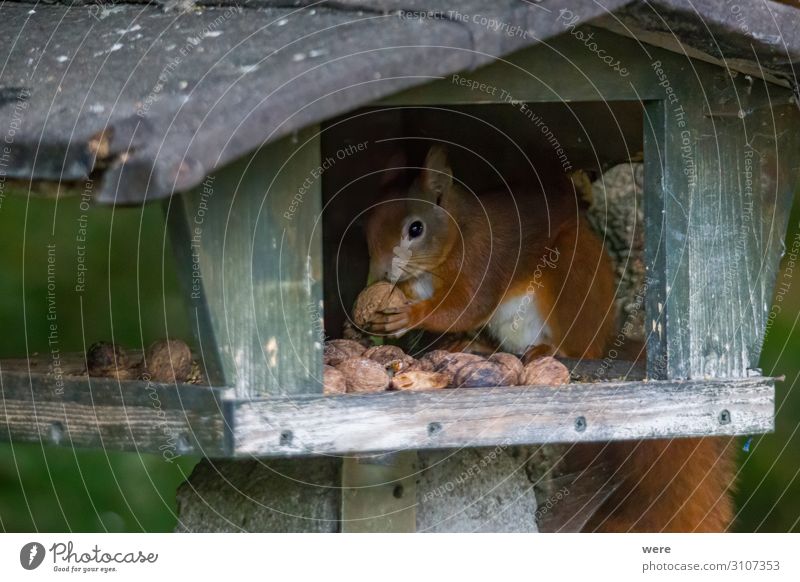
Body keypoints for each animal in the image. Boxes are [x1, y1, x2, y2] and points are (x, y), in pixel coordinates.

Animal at [366, 146, 736, 532]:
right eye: (369, 225)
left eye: (416, 228)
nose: (379, 271)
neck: (453, 236)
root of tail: (604, 342)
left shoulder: (483, 259)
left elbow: (468, 305)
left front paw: (409, 316)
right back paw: (477, 346)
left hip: (570, 279)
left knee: (571, 343)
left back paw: (549, 349)